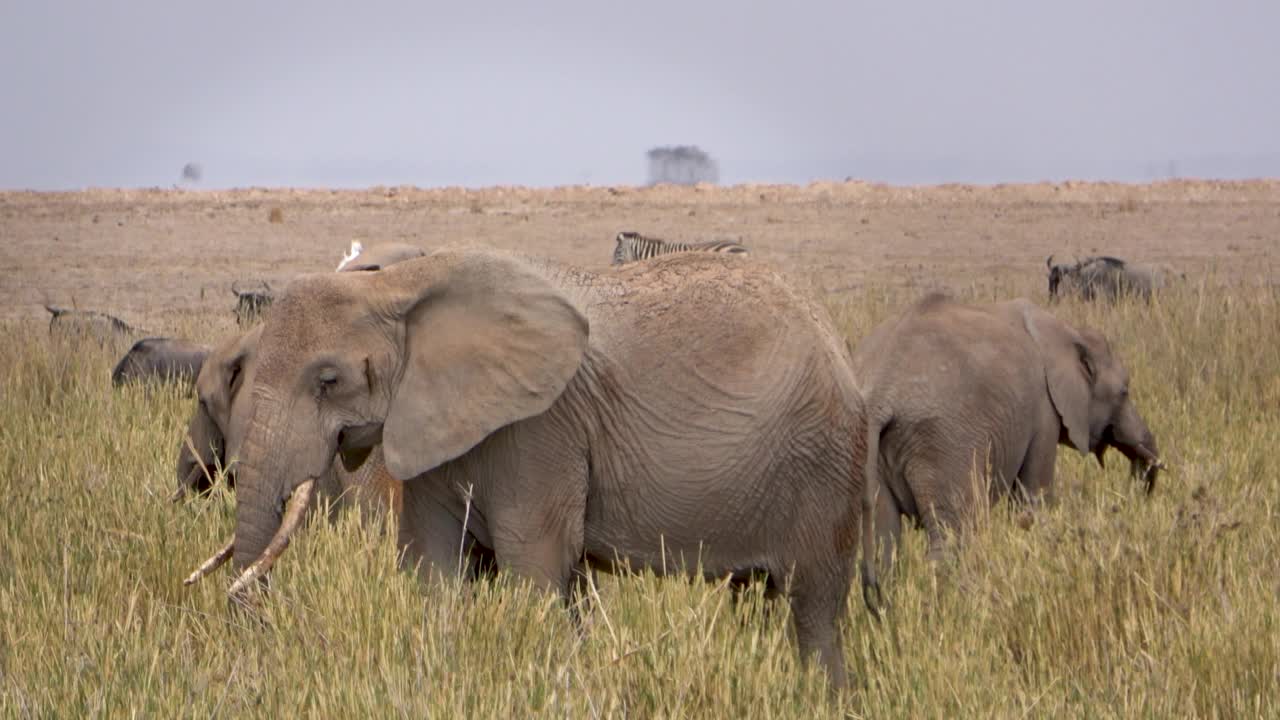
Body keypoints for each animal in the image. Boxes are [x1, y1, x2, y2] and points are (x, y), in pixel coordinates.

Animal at [183, 248, 870, 691]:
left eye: (328, 380)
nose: (255, 632)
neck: (400, 286)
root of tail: (834, 336)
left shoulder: (542, 428)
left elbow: (535, 564)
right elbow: (432, 567)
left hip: (825, 461)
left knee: (813, 607)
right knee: (758, 598)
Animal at [855, 292, 1167, 609]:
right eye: (1124, 392)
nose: (1135, 496)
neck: (1068, 330)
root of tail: (880, 394)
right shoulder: (1043, 411)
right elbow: (1032, 498)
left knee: (884, 544)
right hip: (941, 443)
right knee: (951, 538)